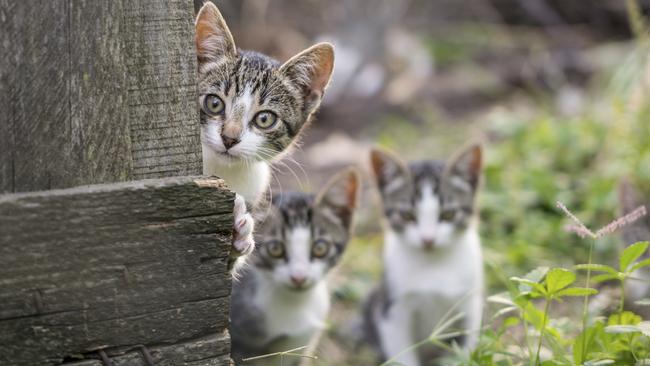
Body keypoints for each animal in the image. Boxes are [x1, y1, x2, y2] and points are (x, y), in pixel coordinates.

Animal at [362, 144, 484, 364]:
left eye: (448, 214)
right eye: (407, 215)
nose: (428, 239)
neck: (433, 264)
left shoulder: (470, 304)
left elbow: (467, 345)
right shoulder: (392, 312)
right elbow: (403, 356)